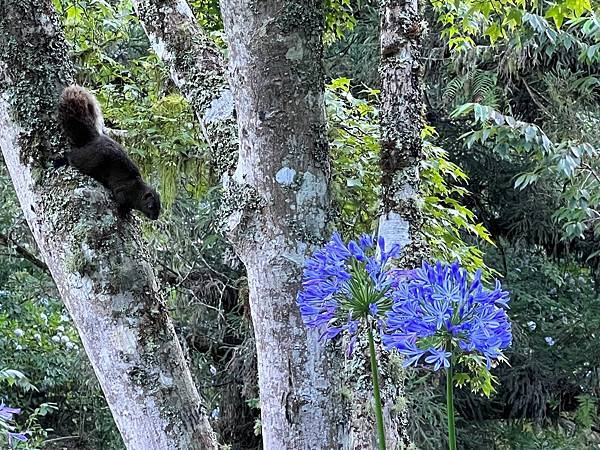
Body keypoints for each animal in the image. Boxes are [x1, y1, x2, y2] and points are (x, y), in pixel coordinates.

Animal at [55, 85, 159, 220]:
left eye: (160, 208)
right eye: (150, 206)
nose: (155, 217)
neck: (137, 189)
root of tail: (91, 139)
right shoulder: (122, 192)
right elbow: (120, 202)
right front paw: (124, 212)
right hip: (86, 161)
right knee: (71, 157)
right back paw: (60, 161)